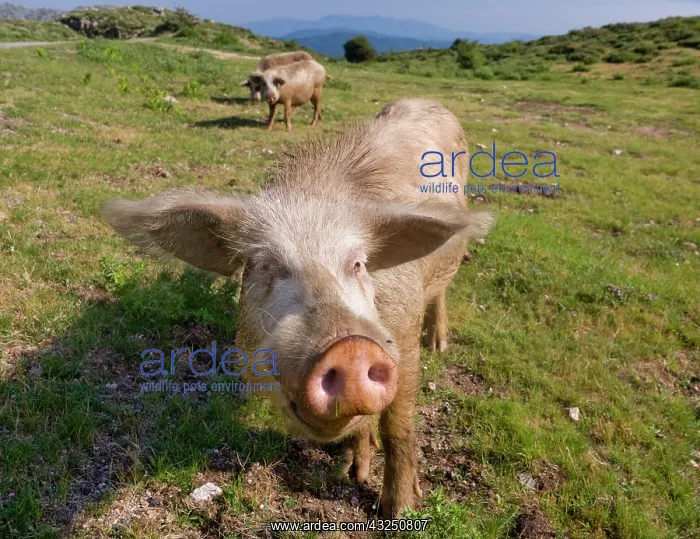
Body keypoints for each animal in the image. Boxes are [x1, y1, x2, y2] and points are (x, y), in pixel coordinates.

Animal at [102, 98, 494, 518]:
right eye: (263, 265)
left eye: (358, 264)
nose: (350, 347)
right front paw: (353, 473)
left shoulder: (403, 339)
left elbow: (398, 428)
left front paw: (397, 510)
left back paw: (439, 344)